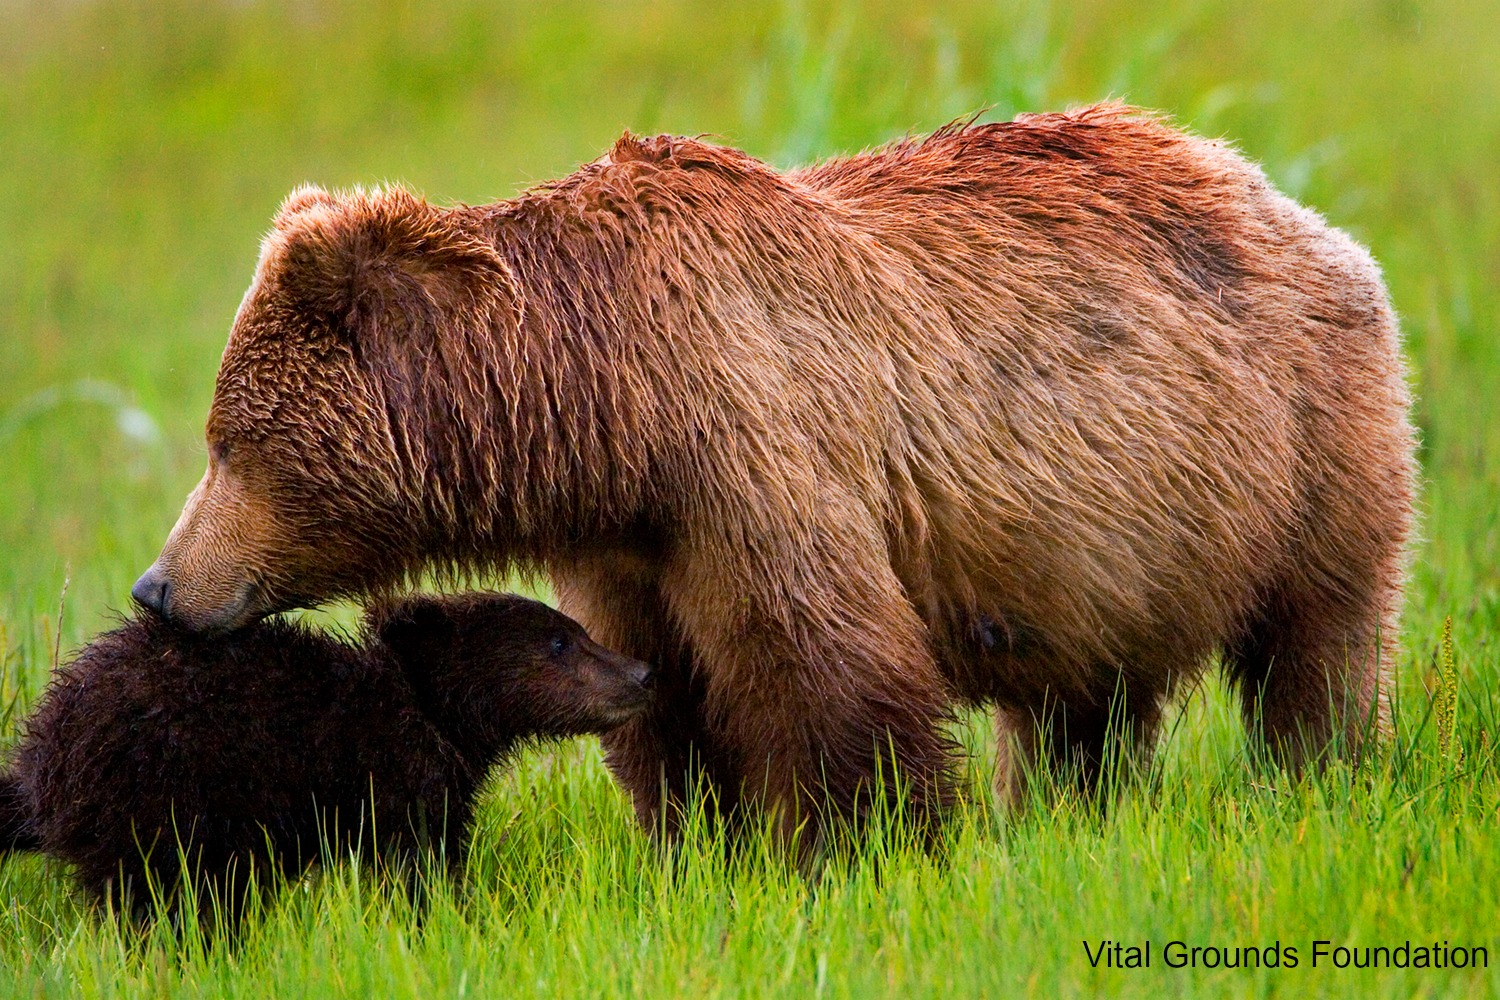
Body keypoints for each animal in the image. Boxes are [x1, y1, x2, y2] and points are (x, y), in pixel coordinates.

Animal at [135, 105, 1410, 839]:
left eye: (225, 442)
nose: (158, 586)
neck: (604, 392)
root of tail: (1280, 196)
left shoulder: (753, 443)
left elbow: (820, 661)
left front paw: (863, 839)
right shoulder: (629, 536)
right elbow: (663, 688)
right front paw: (699, 835)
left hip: (1306, 437)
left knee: (1318, 641)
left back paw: (1320, 773)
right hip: (1110, 536)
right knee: (1079, 696)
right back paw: (1064, 804)